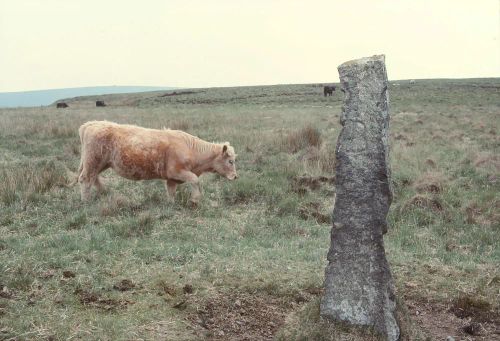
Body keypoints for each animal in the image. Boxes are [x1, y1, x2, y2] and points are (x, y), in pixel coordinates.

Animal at [76, 121, 236, 203]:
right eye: (230, 161)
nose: (235, 176)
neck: (190, 149)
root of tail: (90, 124)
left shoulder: (172, 178)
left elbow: (171, 191)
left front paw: (171, 204)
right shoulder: (178, 171)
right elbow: (195, 180)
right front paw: (195, 200)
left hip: (100, 163)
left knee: (94, 178)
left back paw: (105, 193)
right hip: (93, 162)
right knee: (85, 179)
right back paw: (86, 201)